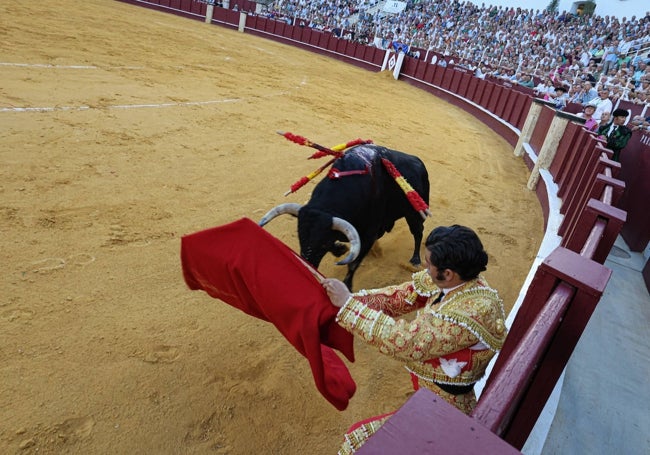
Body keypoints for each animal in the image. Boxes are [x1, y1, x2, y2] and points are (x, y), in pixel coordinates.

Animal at [258, 144, 430, 290]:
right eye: (300, 237)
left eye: (322, 244)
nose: (308, 265)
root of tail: (420, 163)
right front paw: (341, 248)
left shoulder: (369, 234)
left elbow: (353, 263)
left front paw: (347, 286)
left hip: (414, 214)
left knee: (418, 232)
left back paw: (415, 260)